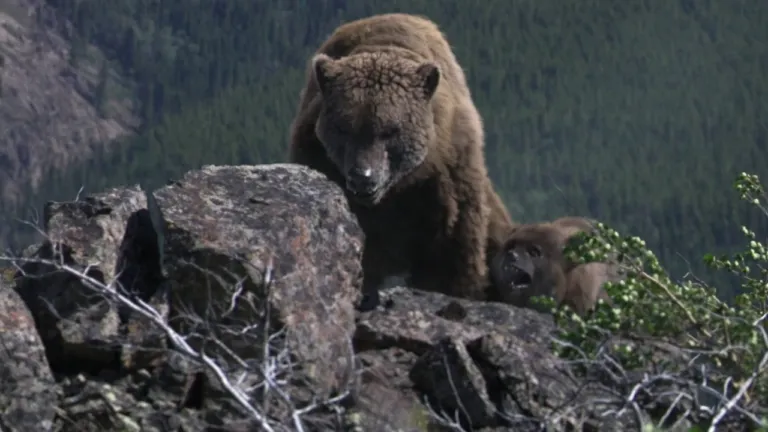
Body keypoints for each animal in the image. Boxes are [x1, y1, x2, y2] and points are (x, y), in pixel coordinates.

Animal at [288, 13, 514, 309]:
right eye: (344, 128)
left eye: (390, 130)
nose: (363, 177)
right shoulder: (317, 156)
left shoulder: (447, 178)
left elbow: (453, 254)